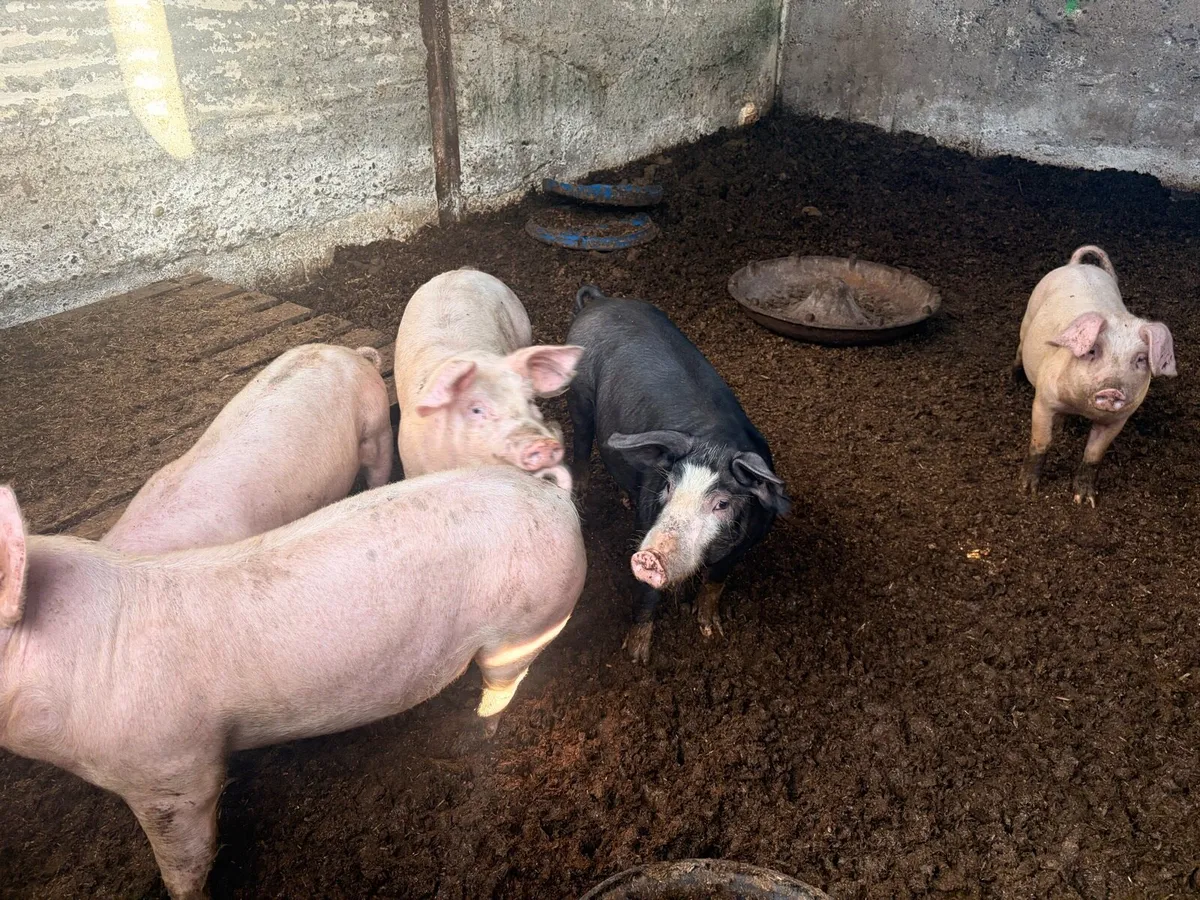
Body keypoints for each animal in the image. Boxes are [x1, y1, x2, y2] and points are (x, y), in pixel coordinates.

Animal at [0, 466, 585, 899]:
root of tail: (555, 497)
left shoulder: (172, 773)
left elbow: (183, 860)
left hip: (526, 624)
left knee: (504, 682)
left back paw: (478, 731)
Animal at [566, 285, 790, 663]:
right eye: (669, 485)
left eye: (722, 504)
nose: (649, 556)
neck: (715, 441)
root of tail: (599, 301)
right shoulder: (648, 517)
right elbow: (647, 595)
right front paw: (636, 657)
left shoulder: (746, 544)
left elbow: (716, 581)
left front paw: (710, 631)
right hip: (579, 394)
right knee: (580, 443)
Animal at [1014, 245, 1176, 506]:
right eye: (1092, 350)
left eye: (1141, 359)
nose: (1112, 390)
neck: (1082, 407)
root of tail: (1077, 265)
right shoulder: (1043, 401)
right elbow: (1041, 443)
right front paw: (1027, 491)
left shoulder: (1118, 419)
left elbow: (1093, 454)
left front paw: (1085, 500)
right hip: (1028, 317)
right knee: (1019, 347)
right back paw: (1014, 379)